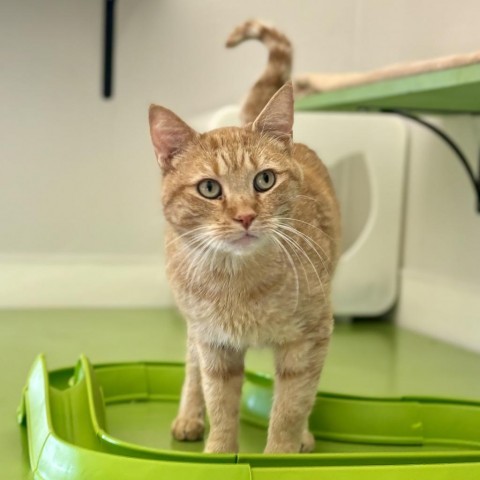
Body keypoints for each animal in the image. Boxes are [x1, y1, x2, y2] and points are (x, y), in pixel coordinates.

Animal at [148, 19, 340, 454]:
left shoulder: (310, 340)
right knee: (191, 369)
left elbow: (291, 407)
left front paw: (282, 453)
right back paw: (189, 417)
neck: (240, 283)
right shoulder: (215, 346)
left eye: (264, 180)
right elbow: (219, 404)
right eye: (209, 188)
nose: (246, 216)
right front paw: (218, 453)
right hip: (195, 329)